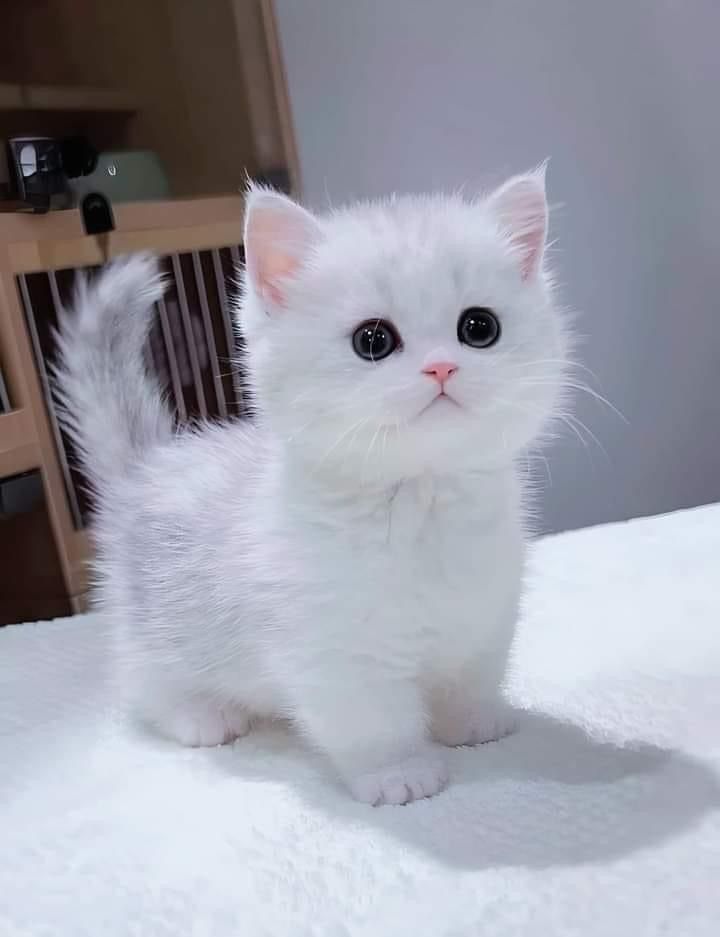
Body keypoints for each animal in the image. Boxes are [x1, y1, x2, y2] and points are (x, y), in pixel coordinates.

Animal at [57, 170, 568, 804]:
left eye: (479, 327)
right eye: (373, 339)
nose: (442, 367)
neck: (421, 503)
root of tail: (148, 464)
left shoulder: (487, 612)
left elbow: (470, 674)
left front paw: (472, 723)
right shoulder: (330, 648)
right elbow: (369, 718)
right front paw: (397, 772)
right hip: (150, 624)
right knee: (144, 680)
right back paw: (201, 715)